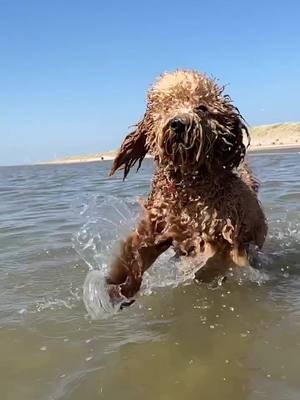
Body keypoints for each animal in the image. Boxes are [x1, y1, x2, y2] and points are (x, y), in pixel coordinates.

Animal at [105, 69, 268, 306]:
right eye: (166, 107)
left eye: (202, 107)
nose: (178, 124)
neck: (187, 184)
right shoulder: (157, 225)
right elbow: (137, 252)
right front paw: (120, 286)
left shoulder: (220, 234)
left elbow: (215, 257)